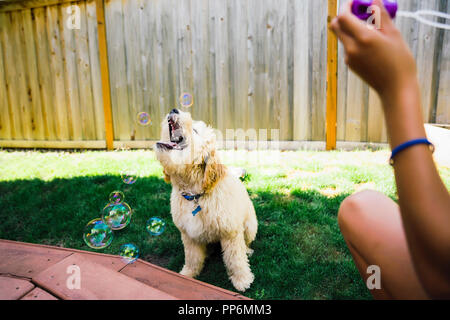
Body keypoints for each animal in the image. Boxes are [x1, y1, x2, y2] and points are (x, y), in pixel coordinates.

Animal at [155, 109, 256, 292]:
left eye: (195, 130)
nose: (174, 110)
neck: (195, 194)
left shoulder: (231, 233)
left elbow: (236, 259)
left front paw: (242, 279)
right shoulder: (188, 234)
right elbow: (192, 258)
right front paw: (188, 274)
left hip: (250, 226)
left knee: (245, 243)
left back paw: (247, 250)